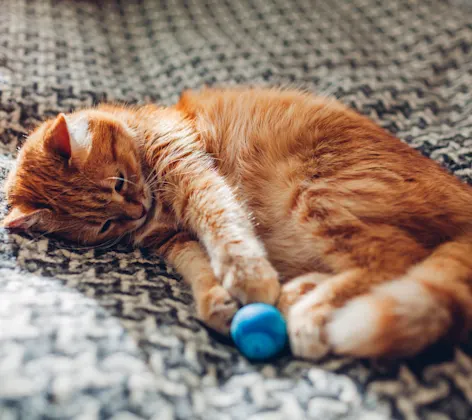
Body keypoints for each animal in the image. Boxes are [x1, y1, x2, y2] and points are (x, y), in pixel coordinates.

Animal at [3, 87, 472, 360]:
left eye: (118, 182)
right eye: (102, 226)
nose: (134, 212)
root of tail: (462, 194)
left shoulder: (193, 173)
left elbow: (224, 227)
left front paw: (247, 278)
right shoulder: (173, 240)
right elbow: (198, 265)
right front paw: (217, 298)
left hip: (316, 194)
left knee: (395, 258)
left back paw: (310, 312)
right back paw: (299, 292)